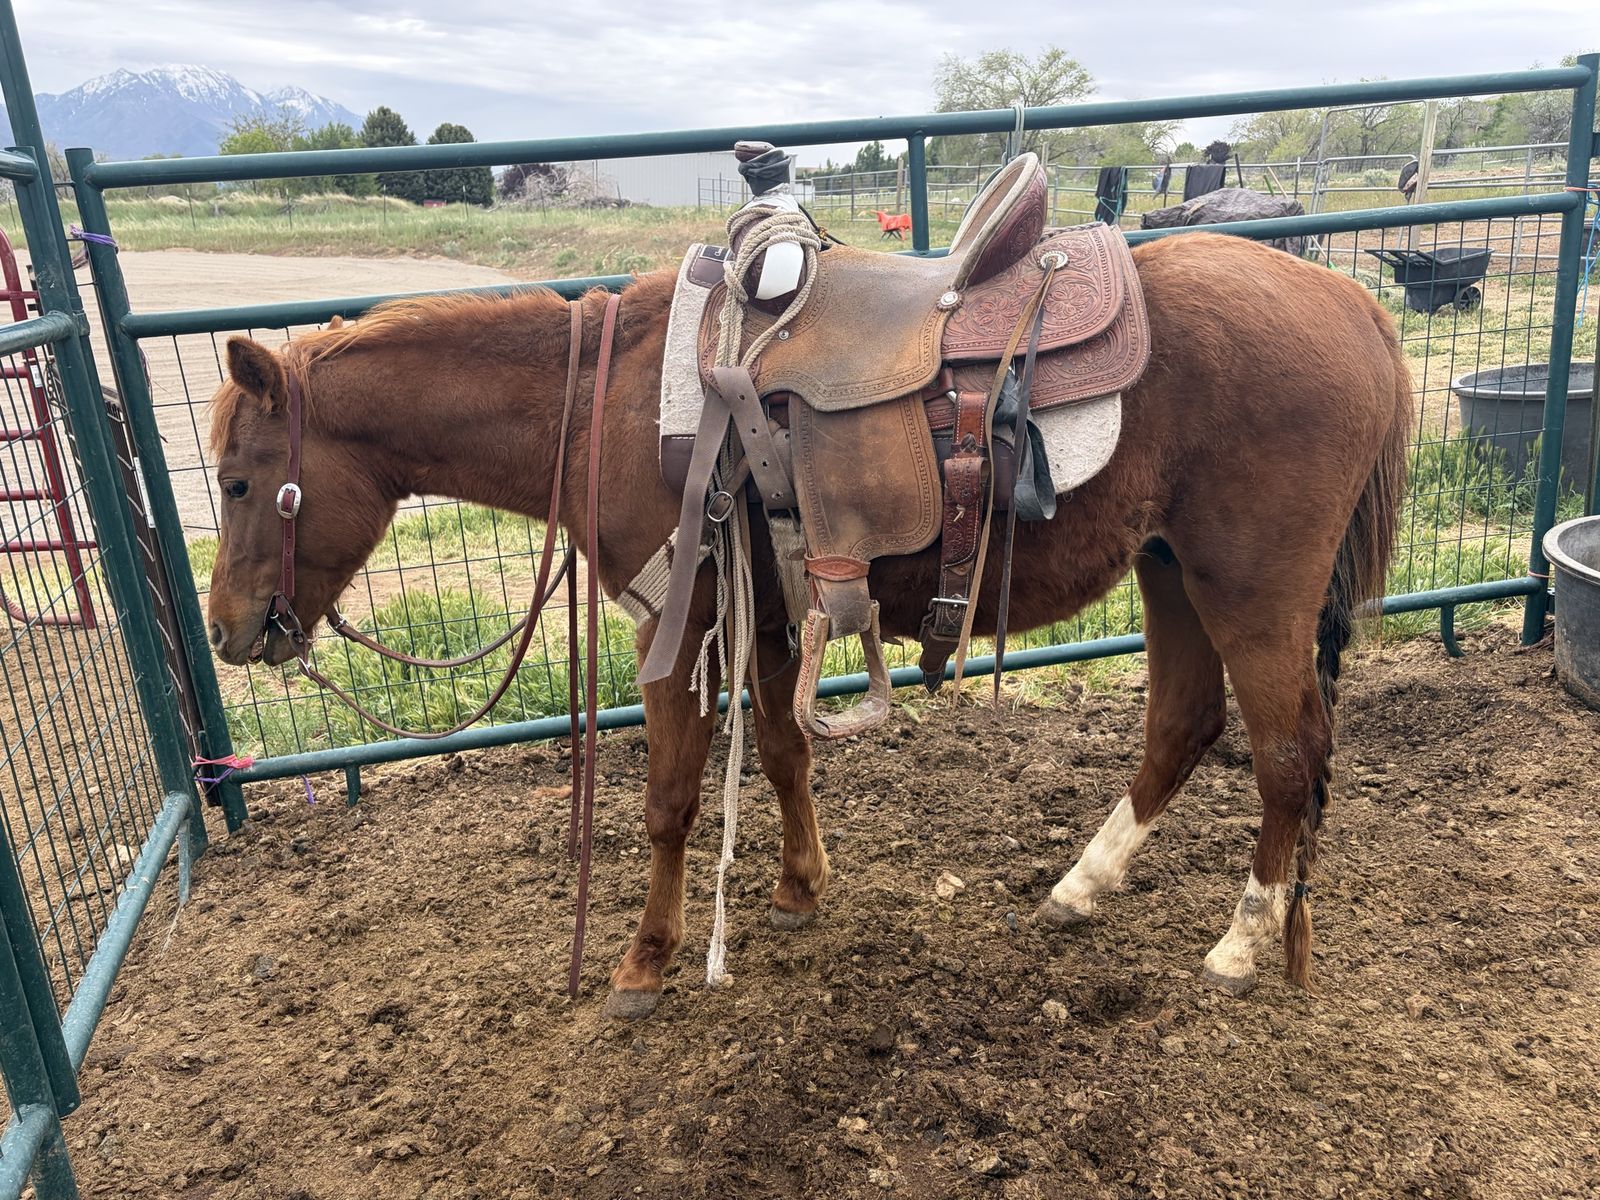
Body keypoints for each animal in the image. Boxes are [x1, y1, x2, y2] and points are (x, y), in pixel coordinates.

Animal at [205, 231, 1412, 1018]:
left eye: (234, 479)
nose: (228, 631)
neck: (610, 405)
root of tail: (1353, 305)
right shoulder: (773, 617)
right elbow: (785, 754)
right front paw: (797, 889)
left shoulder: (677, 622)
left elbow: (671, 801)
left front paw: (644, 962)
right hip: (1172, 573)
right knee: (1182, 726)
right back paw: (1083, 885)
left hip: (1251, 591)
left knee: (1287, 755)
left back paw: (1245, 942)